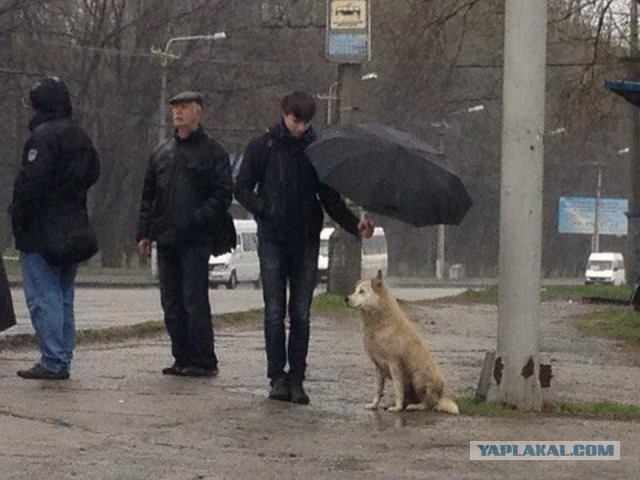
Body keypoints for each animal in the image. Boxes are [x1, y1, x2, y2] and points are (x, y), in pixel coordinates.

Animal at [348, 272, 458, 414]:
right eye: (355, 291)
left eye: (362, 292)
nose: (345, 299)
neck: (381, 323)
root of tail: (440, 396)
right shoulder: (378, 366)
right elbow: (378, 389)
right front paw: (374, 405)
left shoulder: (394, 365)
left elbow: (397, 389)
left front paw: (397, 408)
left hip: (417, 378)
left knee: (429, 404)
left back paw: (414, 406)